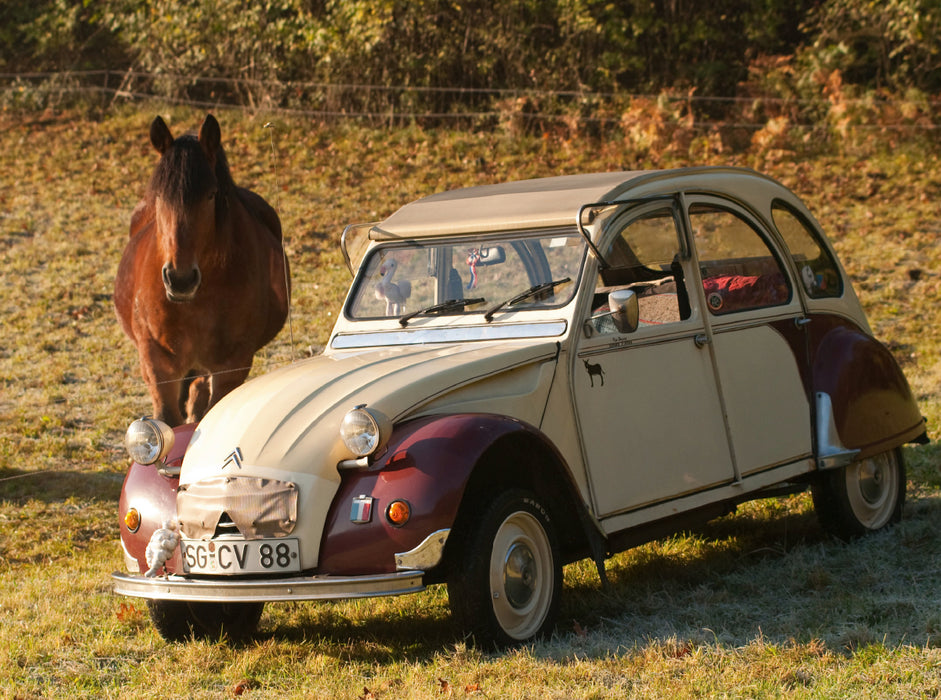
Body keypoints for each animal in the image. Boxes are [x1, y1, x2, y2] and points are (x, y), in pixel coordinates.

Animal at [114, 114, 290, 426]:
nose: (180, 280)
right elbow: (167, 419)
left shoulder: (231, 367)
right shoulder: (158, 364)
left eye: (210, 195)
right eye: (160, 197)